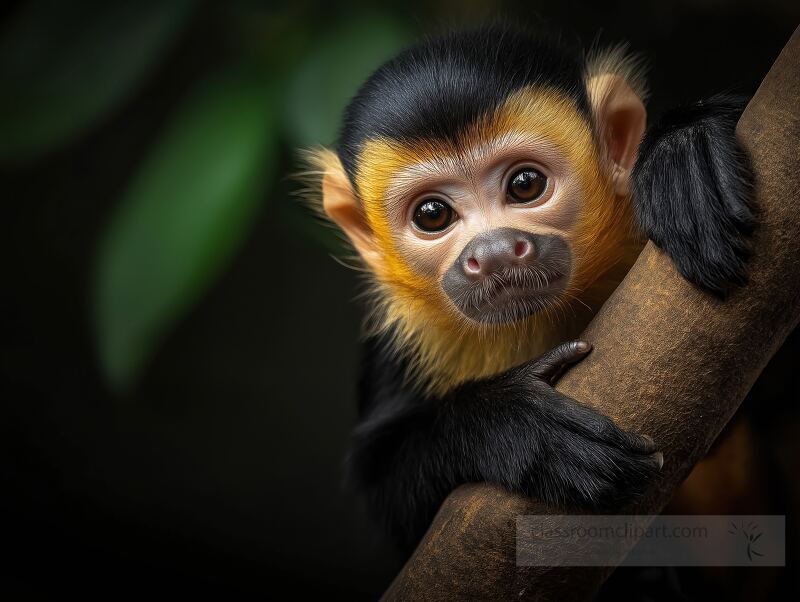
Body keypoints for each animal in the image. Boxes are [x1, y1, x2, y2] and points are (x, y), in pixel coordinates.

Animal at [302, 23, 756, 552]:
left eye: (524, 184)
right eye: (432, 215)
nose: (495, 251)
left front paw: (685, 147)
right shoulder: (398, 348)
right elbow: (388, 493)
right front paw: (519, 425)